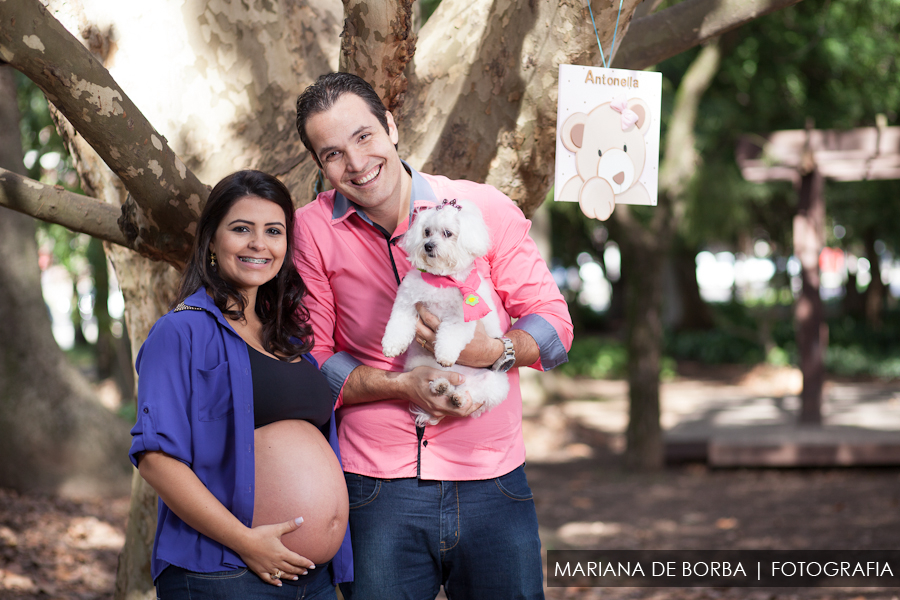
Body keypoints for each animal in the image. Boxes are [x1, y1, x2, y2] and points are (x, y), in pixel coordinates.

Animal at [380, 199, 506, 428]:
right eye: (426, 232)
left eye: (448, 233)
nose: (428, 245)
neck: (442, 279)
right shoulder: (406, 303)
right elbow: (398, 324)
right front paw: (392, 346)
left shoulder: (460, 318)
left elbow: (450, 336)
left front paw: (445, 354)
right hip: (420, 366)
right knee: (440, 383)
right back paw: (441, 387)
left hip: (494, 383)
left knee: (472, 394)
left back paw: (458, 398)